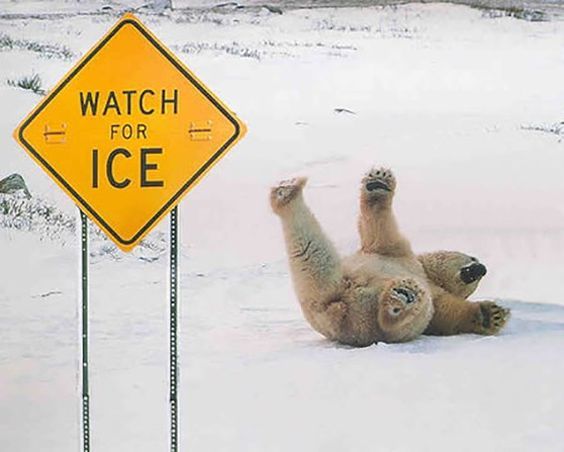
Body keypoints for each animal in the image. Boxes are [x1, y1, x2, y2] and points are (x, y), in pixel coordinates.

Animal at [270, 168, 508, 348]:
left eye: (476, 278)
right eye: (473, 258)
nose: (480, 269)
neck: (424, 270)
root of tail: (335, 311)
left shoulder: (415, 272)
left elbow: (446, 312)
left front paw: (491, 315)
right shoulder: (397, 252)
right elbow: (379, 230)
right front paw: (378, 182)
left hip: (339, 298)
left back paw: (399, 299)